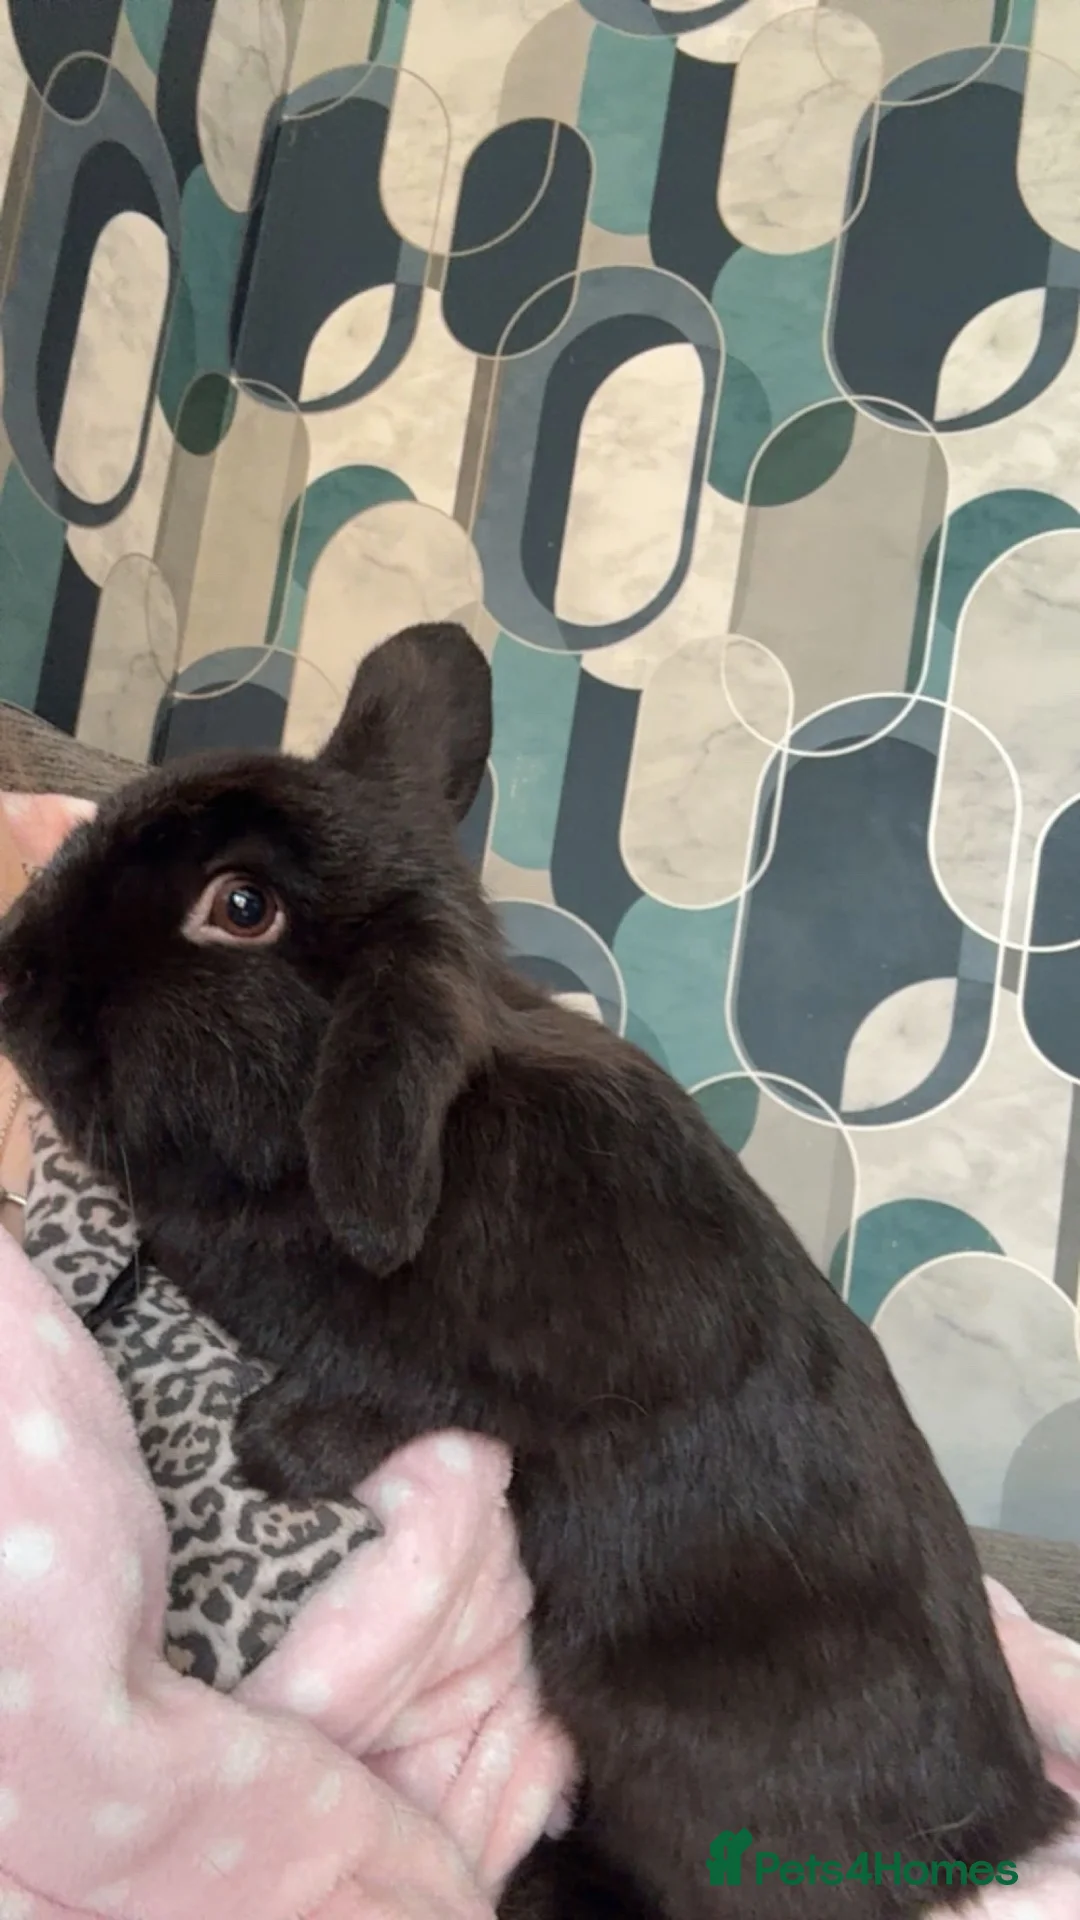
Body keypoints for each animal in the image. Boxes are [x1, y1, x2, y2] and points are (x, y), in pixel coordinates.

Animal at [0, 622, 1068, 1920]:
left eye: (240, 906)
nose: (11, 972)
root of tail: (1007, 1826)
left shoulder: (539, 1370)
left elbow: (403, 1392)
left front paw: (272, 1449)